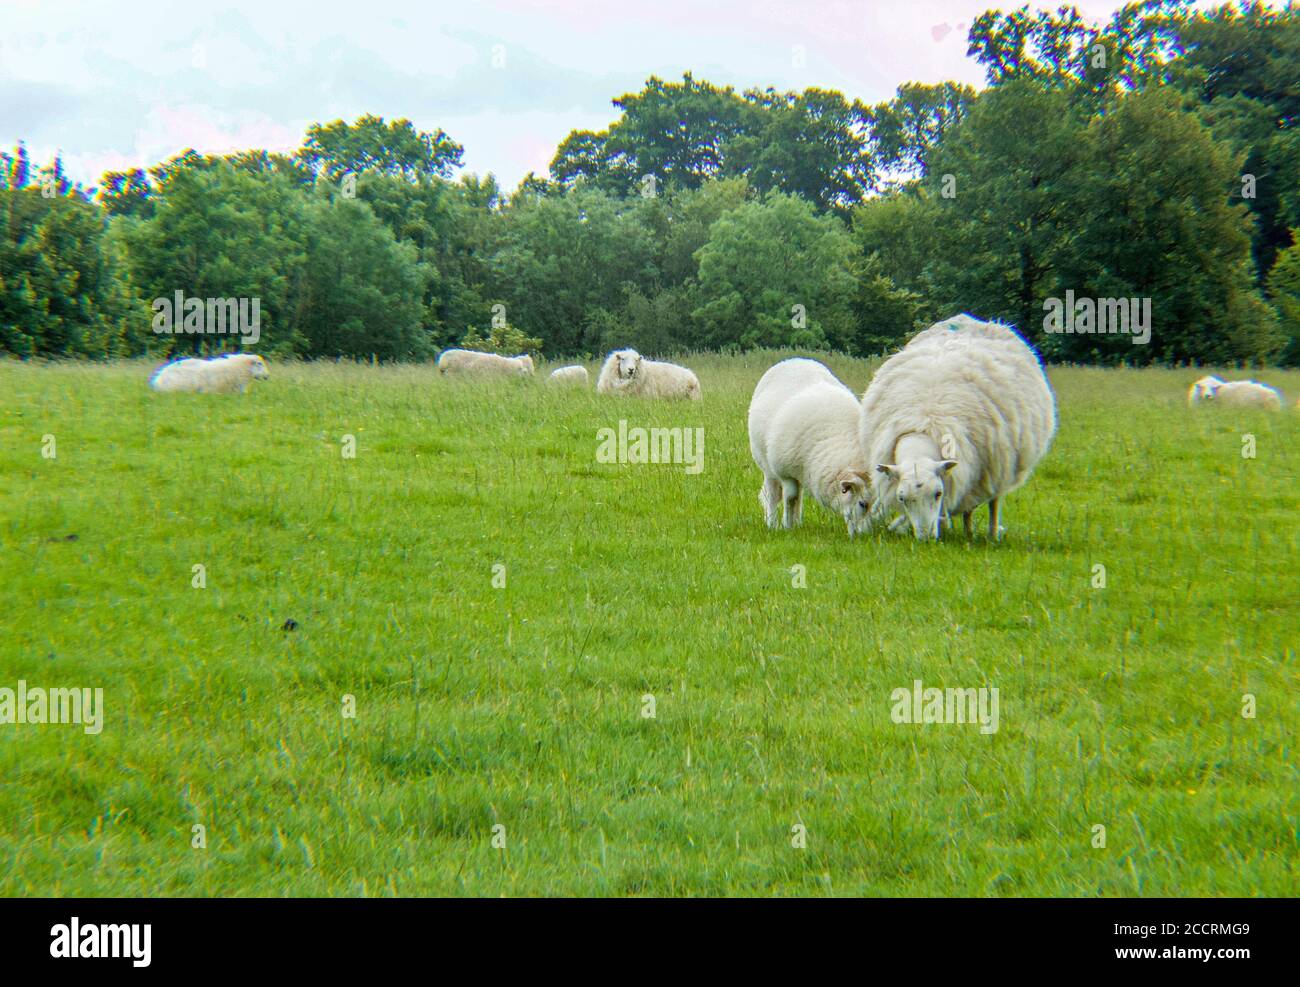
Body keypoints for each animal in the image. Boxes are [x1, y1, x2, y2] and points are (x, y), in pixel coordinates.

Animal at [748, 358, 872, 537]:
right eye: (862, 504)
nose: (866, 535)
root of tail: (796, 359)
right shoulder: (785, 473)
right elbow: (790, 498)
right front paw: (786, 526)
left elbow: (795, 499)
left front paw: (793, 525)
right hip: (767, 465)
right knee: (772, 495)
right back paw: (772, 523)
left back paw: (798, 523)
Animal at [860, 314, 1057, 541]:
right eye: (902, 498)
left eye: (938, 494)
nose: (926, 538)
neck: (924, 425)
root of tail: (972, 319)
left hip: (998, 467)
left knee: (992, 501)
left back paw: (988, 535)